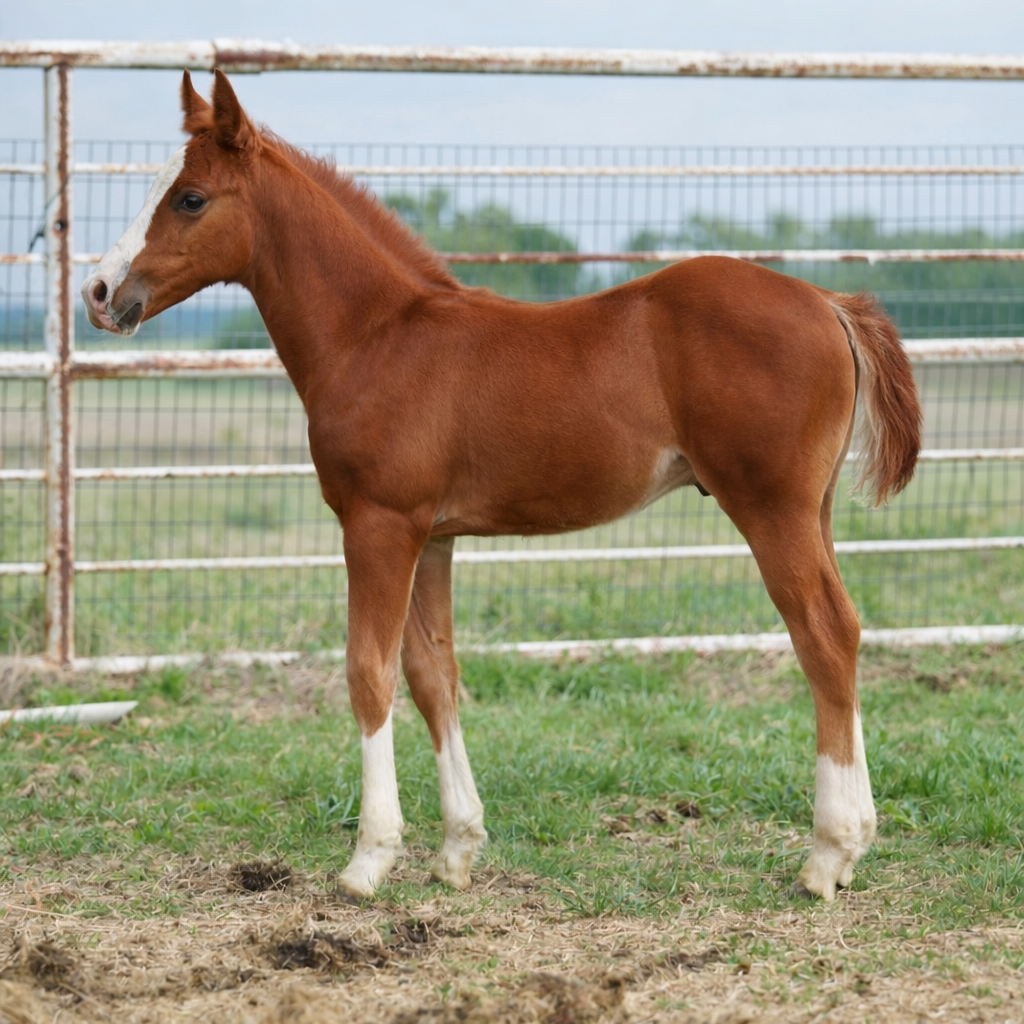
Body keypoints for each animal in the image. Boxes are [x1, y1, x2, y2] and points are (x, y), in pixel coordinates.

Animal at [82, 70, 921, 901]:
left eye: (191, 197)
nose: (98, 291)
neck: (377, 336)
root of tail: (830, 304)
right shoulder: (433, 537)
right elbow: (433, 676)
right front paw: (457, 849)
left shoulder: (378, 525)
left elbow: (367, 672)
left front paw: (368, 860)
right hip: (813, 510)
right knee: (846, 629)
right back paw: (858, 839)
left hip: (770, 508)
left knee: (822, 634)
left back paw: (826, 856)